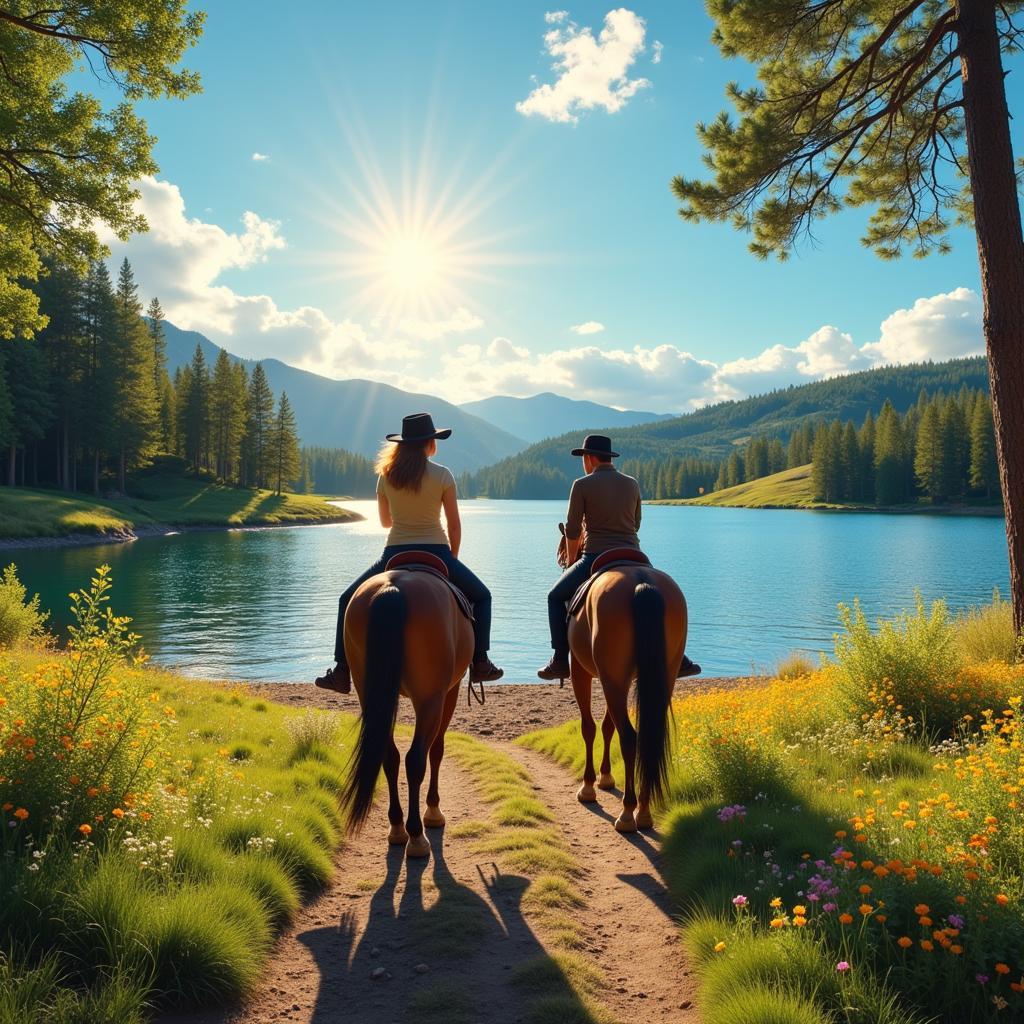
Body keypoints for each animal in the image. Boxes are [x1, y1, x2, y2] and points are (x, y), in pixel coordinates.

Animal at [339, 557, 475, 860]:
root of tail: (394, 589)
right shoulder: (450, 691)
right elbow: (437, 750)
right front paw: (433, 810)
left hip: (367, 691)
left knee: (389, 755)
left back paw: (398, 828)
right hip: (429, 699)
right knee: (416, 759)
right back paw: (416, 836)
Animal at [569, 561, 688, 831]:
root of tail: (641, 581)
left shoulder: (579, 670)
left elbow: (589, 727)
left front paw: (589, 786)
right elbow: (607, 726)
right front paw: (605, 776)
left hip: (611, 677)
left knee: (629, 738)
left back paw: (627, 814)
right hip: (663, 675)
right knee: (647, 735)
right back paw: (643, 812)